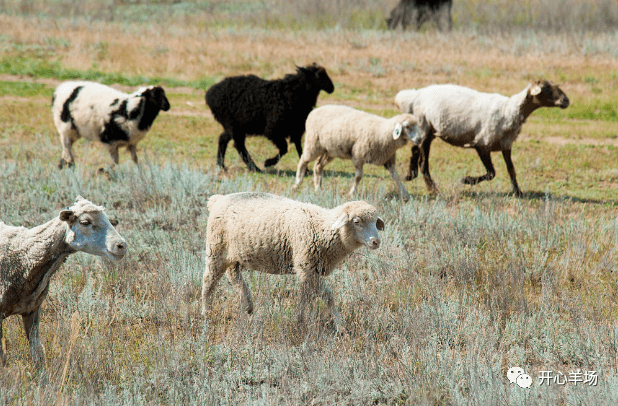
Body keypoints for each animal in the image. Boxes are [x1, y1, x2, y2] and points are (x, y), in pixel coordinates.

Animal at [200, 193, 382, 334]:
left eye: (375, 222)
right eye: (357, 221)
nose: (376, 242)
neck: (322, 227)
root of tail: (217, 199)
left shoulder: (311, 269)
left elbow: (307, 296)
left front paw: (300, 319)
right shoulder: (307, 266)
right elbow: (327, 297)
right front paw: (341, 327)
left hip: (235, 255)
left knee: (233, 275)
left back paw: (248, 305)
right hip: (216, 249)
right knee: (209, 281)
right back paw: (206, 313)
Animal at [205, 63, 334, 173]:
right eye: (318, 75)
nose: (332, 88)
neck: (293, 92)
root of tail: (210, 93)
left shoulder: (296, 129)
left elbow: (300, 150)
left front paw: (305, 170)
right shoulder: (273, 130)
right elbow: (284, 148)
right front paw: (268, 162)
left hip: (233, 126)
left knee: (223, 139)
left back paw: (221, 166)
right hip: (233, 125)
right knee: (239, 145)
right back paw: (254, 168)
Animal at [394, 79, 568, 197]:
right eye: (546, 89)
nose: (566, 100)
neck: (509, 110)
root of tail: (415, 95)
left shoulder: (506, 145)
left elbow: (511, 170)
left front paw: (518, 192)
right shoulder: (482, 144)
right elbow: (492, 173)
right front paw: (467, 180)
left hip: (427, 130)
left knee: (414, 149)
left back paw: (410, 175)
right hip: (425, 126)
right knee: (424, 164)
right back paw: (433, 190)